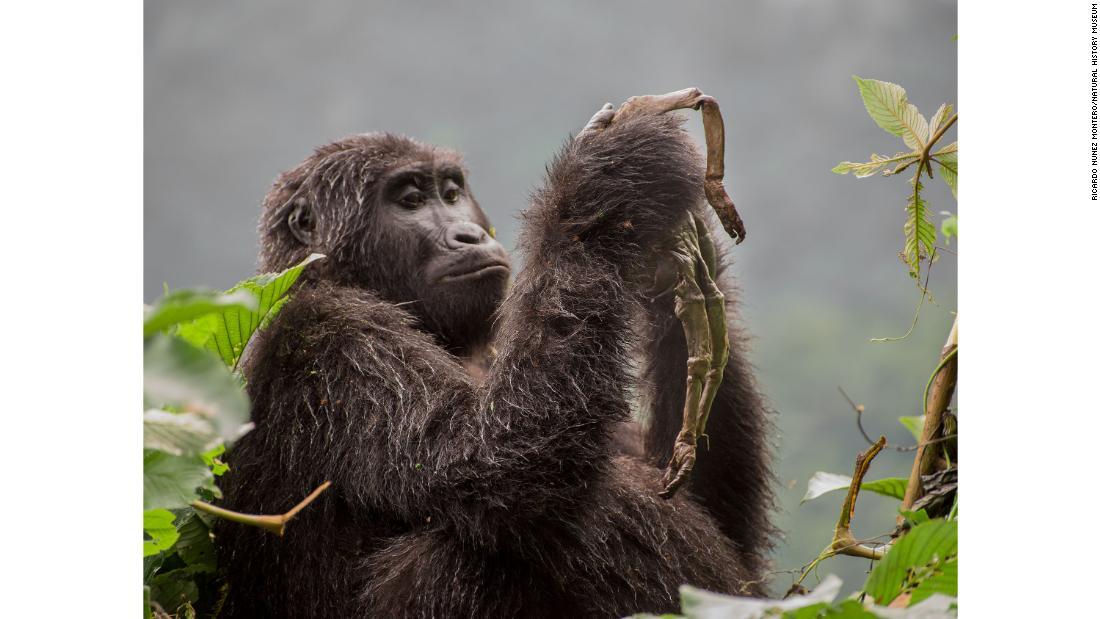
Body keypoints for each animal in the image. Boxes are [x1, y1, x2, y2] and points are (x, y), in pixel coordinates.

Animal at [216, 97, 774, 619]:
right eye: (410, 200)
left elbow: (703, 502)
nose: (470, 235)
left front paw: (673, 256)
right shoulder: (332, 334)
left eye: (452, 194)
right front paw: (609, 179)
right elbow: (489, 467)